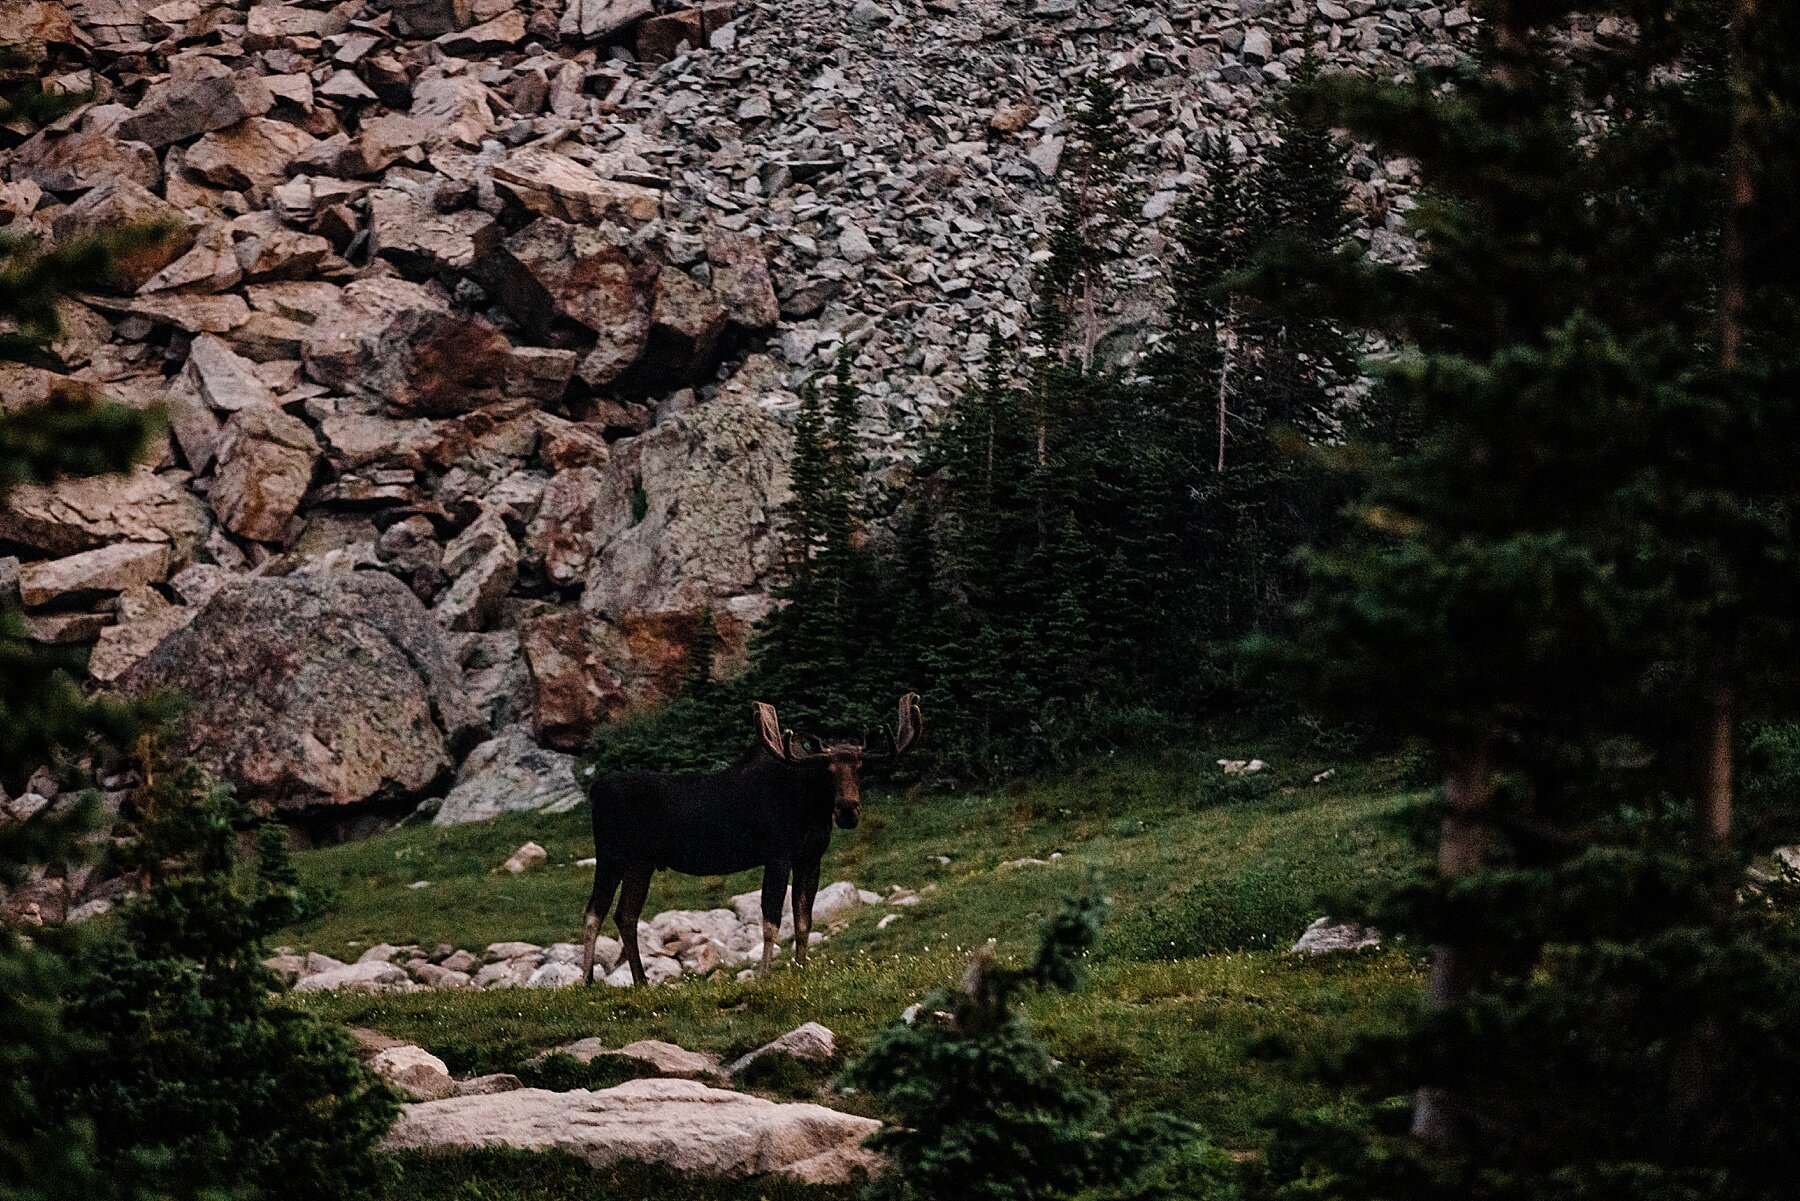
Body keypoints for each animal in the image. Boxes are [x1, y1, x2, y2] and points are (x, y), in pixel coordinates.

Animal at [579, 695, 921, 986]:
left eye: (861, 768)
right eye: (827, 769)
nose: (848, 810)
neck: (810, 808)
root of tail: (596, 790)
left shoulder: (810, 857)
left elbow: (804, 920)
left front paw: (802, 969)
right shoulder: (778, 855)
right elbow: (771, 920)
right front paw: (764, 975)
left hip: (641, 863)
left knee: (625, 915)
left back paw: (641, 981)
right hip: (611, 855)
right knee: (594, 912)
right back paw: (587, 981)